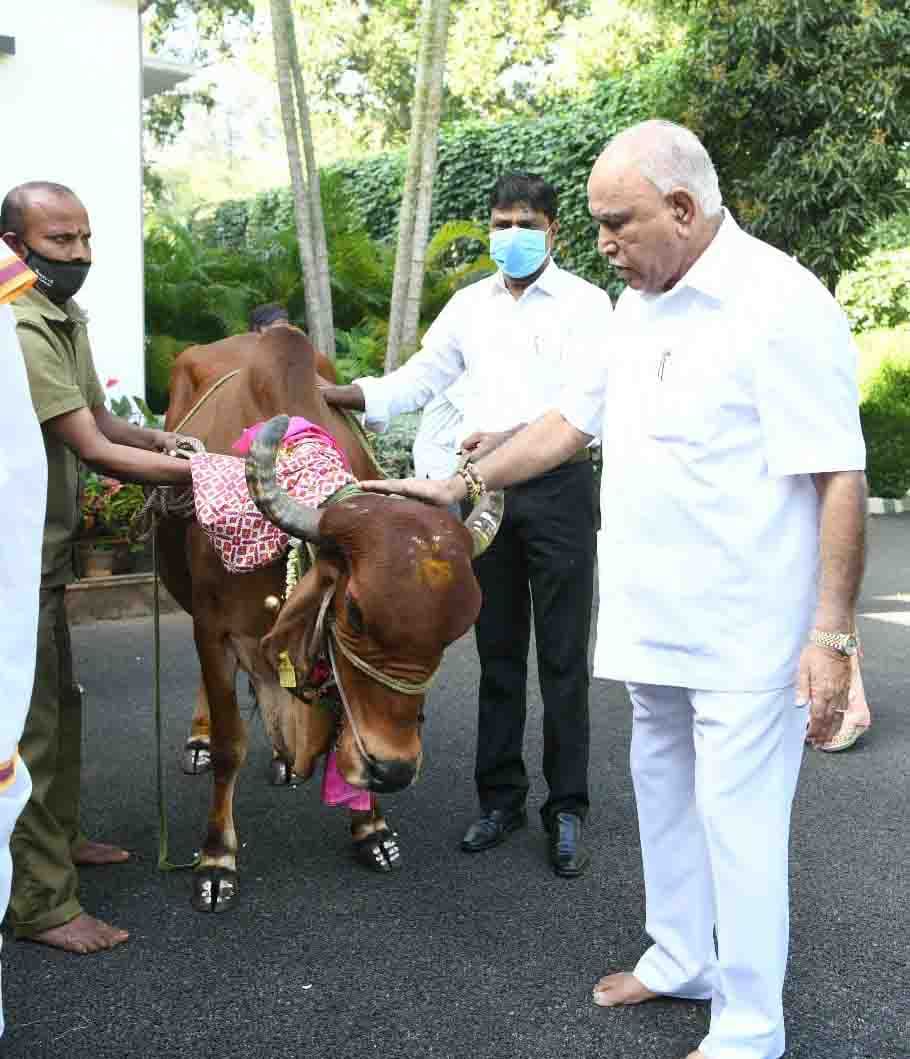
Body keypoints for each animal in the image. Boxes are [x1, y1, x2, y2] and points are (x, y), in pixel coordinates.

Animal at [154, 328, 497, 910]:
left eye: (454, 634)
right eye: (354, 613)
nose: (394, 770)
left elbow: (343, 730)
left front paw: (372, 830)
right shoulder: (215, 629)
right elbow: (229, 747)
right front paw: (216, 860)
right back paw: (200, 740)